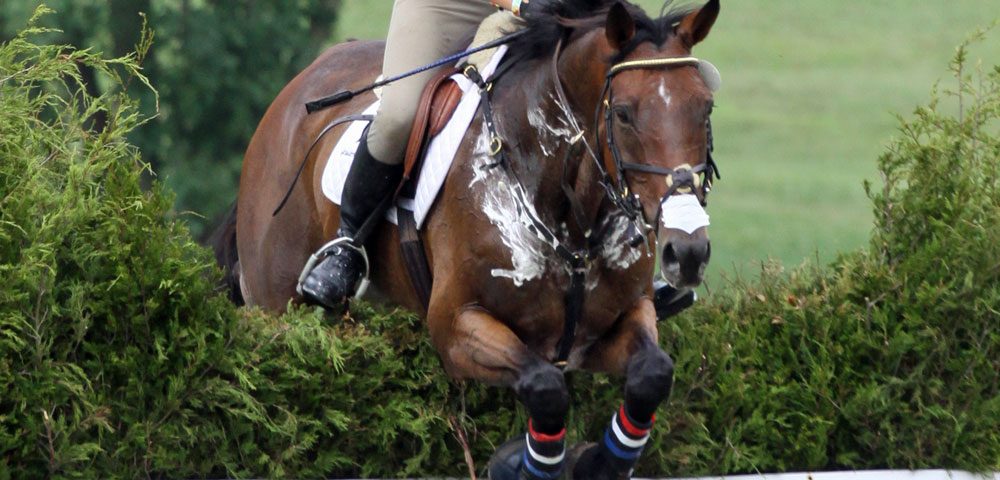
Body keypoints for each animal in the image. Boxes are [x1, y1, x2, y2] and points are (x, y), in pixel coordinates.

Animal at [215, 0, 719, 476]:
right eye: (625, 114)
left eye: (705, 107)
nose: (687, 252)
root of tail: (291, 96)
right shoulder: (458, 326)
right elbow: (545, 387)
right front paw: (526, 465)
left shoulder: (611, 325)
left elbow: (652, 373)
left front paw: (600, 463)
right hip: (276, 301)